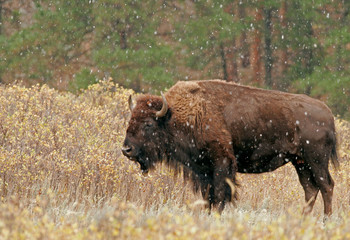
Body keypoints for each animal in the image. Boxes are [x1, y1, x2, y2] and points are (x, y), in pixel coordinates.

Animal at [121, 80, 338, 216]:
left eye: (148, 124)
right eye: (131, 120)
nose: (126, 150)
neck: (178, 116)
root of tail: (328, 114)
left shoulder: (222, 163)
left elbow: (219, 195)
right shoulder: (203, 170)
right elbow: (208, 197)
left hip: (316, 160)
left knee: (326, 186)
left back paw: (325, 220)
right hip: (300, 162)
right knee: (310, 189)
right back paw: (303, 219)